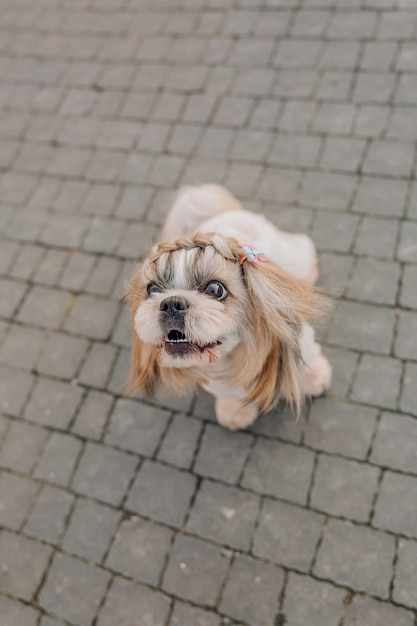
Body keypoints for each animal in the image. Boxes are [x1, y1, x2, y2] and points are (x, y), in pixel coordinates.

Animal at [124, 184, 332, 428]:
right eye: (153, 290)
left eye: (215, 289)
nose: (171, 303)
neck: (231, 355)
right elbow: (229, 393)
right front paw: (234, 412)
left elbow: (308, 358)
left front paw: (314, 378)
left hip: (289, 255)